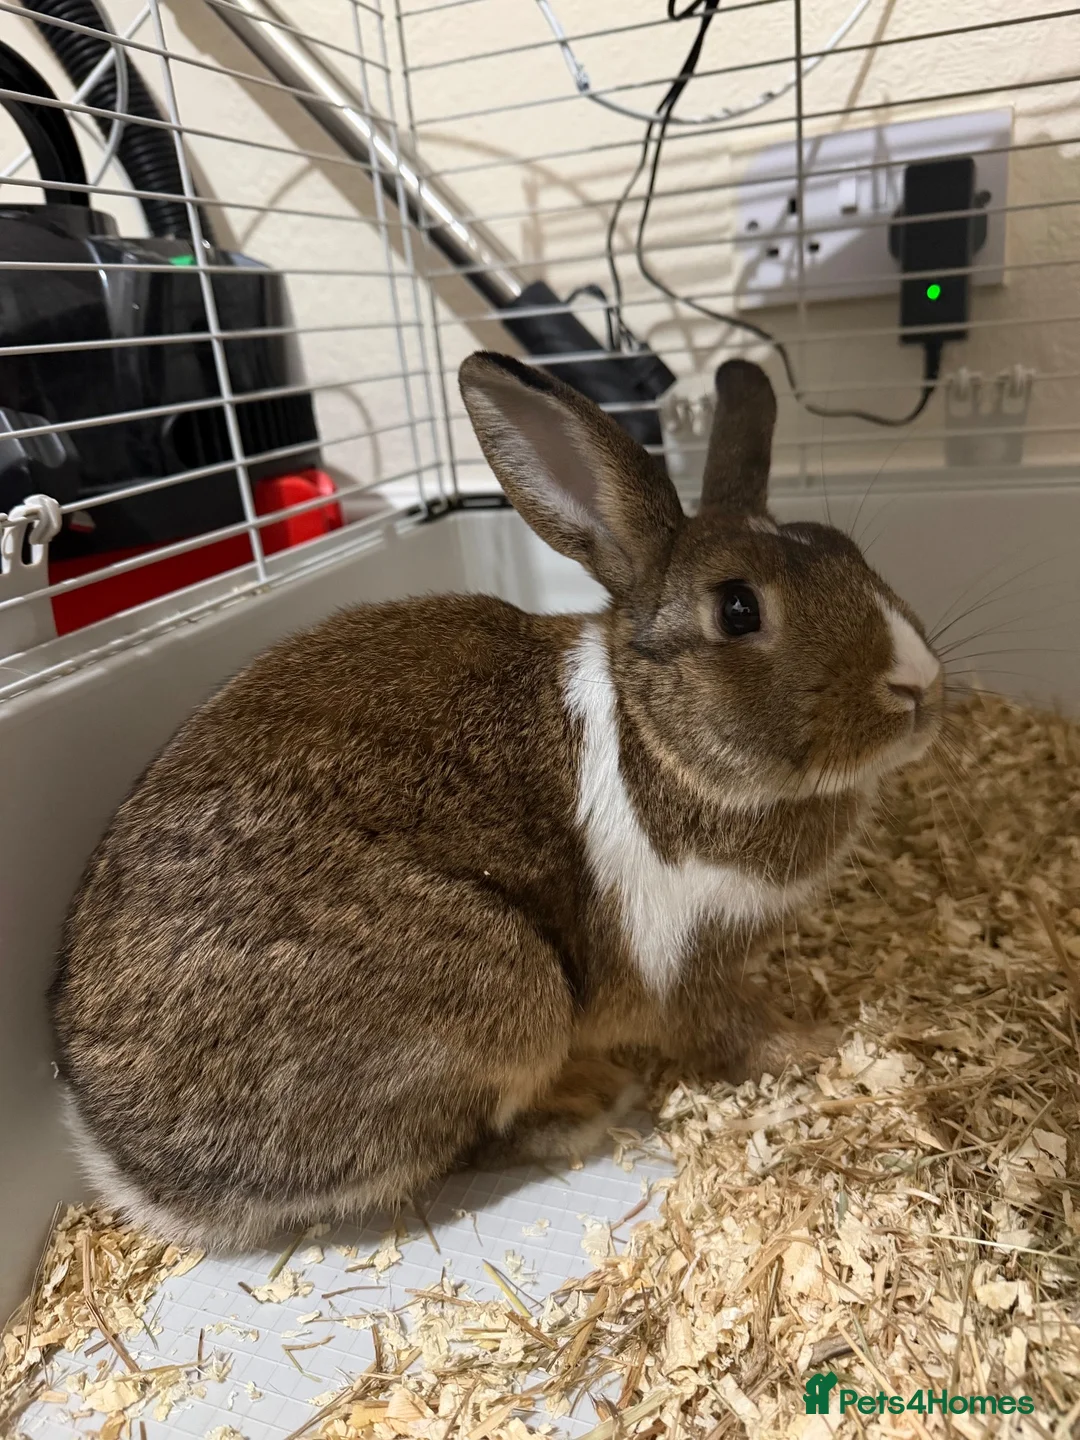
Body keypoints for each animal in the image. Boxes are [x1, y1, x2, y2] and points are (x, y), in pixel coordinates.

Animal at [49, 352, 943, 1249]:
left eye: (848, 551)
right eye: (737, 608)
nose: (919, 685)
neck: (657, 740)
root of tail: (137, 1170)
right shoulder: (685, 959)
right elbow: (736, 1030)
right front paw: (817, 1044)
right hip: (508, 992)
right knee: (467, 1139)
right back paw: (588, 1099)